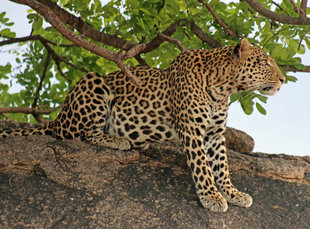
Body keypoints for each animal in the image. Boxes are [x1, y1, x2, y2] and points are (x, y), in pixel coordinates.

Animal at [0, 38, 286, 212]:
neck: (223, 88)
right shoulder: (192, 131)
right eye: (264, 62)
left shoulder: (214, 134)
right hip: (93, 82)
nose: (283, 79)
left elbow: (222, 166)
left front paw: (232, 193)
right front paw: (211, 197)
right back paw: (119, 139)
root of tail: (59, 117)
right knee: (84, 134)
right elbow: (203, 167)